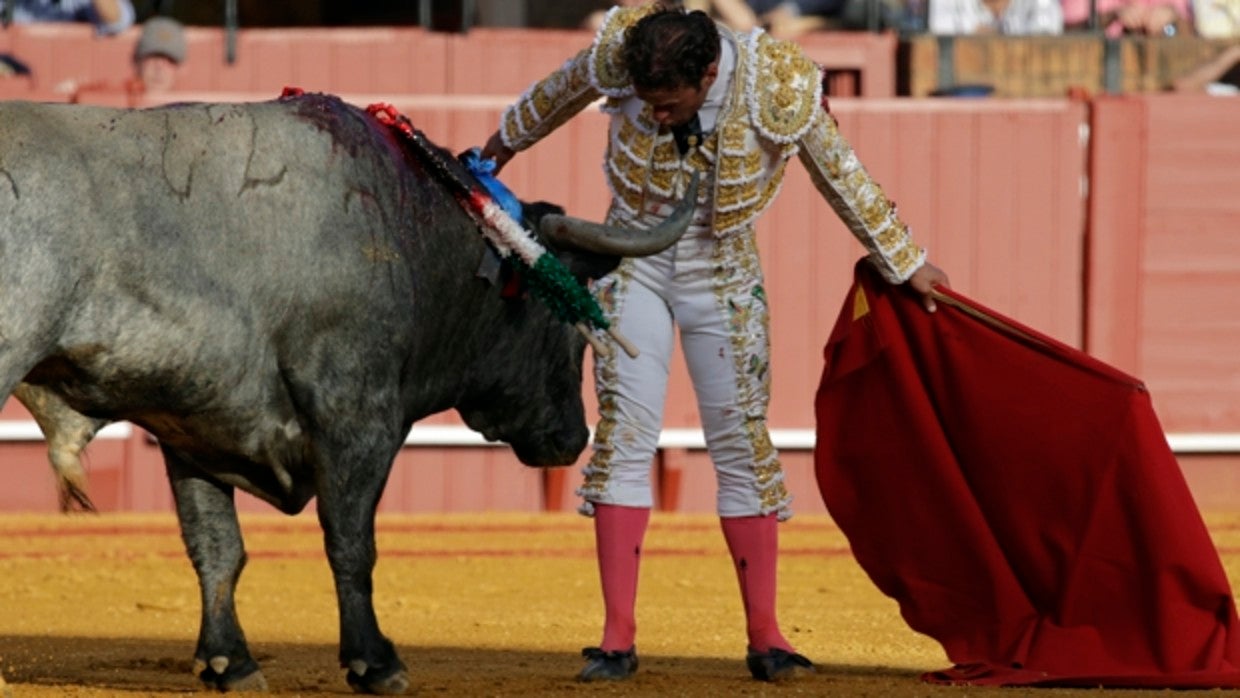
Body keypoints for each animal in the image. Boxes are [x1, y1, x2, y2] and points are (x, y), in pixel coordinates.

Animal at [0, 94, 694, 694]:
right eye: (569, 326)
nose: (572, 438)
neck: (413, 231)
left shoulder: (192, 432)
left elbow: (217, 548)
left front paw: (230, 662)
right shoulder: (357, 419)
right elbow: (350, 540)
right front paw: (375, 661)